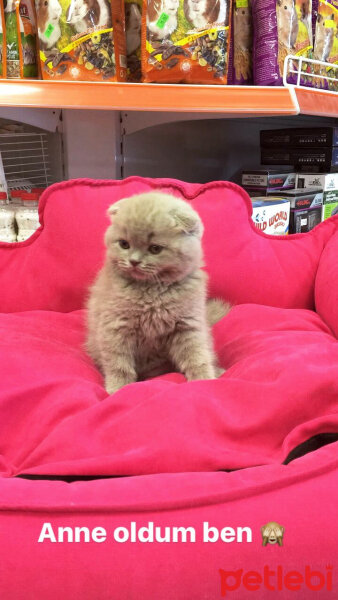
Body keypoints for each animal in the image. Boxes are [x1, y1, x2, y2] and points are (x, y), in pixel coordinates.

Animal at [86, 192, 231, 394]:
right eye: (124, 244)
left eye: (155, 248)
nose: (134, 261)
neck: (152, 292)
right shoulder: (115, 326)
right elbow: (118, 364)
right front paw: (118, 389)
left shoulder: (188, 325)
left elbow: (197, 355)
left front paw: (204, 379)